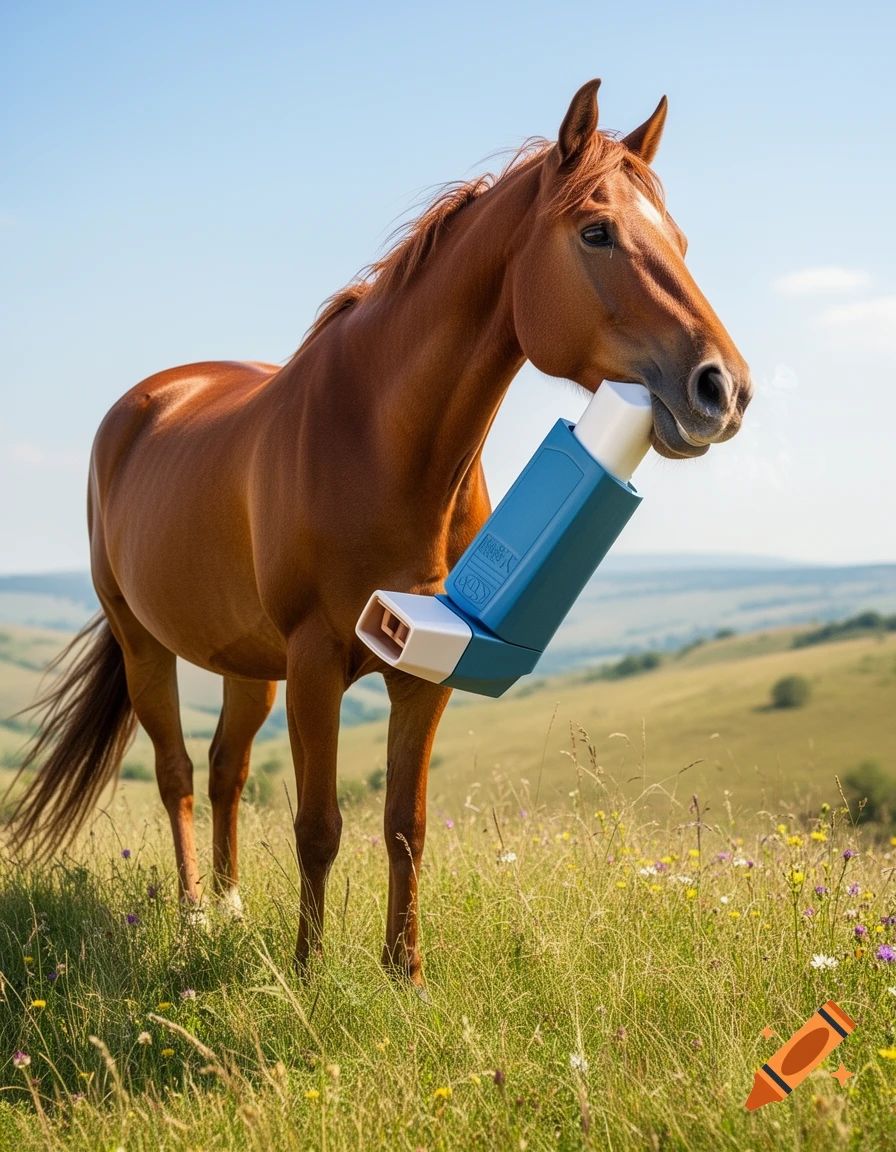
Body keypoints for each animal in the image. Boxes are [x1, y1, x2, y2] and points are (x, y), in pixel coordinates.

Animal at [7, 80, 752, 985]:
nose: (723, 389)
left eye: (679, 239)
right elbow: (319, 826)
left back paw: (228, 908)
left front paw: (407, 974)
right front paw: (307, 971)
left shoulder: (424, 671)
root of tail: (148, 401)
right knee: (178, 774)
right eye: (596, 231)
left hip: (248, 665)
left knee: (224, 771)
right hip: (145, 640)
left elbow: (405, 825)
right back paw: (193, 917)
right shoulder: (317, 663)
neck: (379, 441)